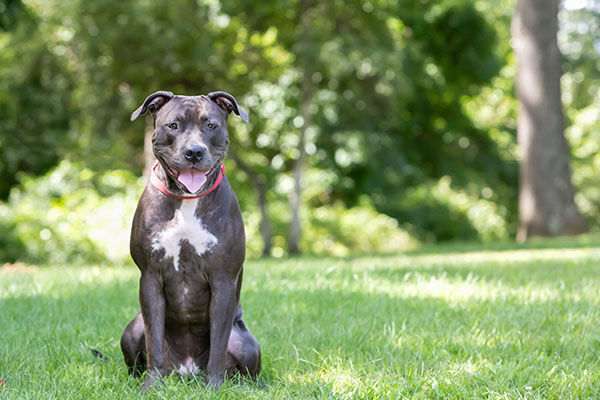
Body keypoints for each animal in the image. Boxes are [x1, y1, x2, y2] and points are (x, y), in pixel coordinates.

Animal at [121, 90, 260, 390]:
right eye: (173, 125)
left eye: (211, 126)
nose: (194, 152)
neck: (186, 199)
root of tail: (187, 370)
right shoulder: (150, 277)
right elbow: (153, 342)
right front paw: (152, 387)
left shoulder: (223, 280)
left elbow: (218, 344)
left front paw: (214, 388)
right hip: (132, 330)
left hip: (246, 343)